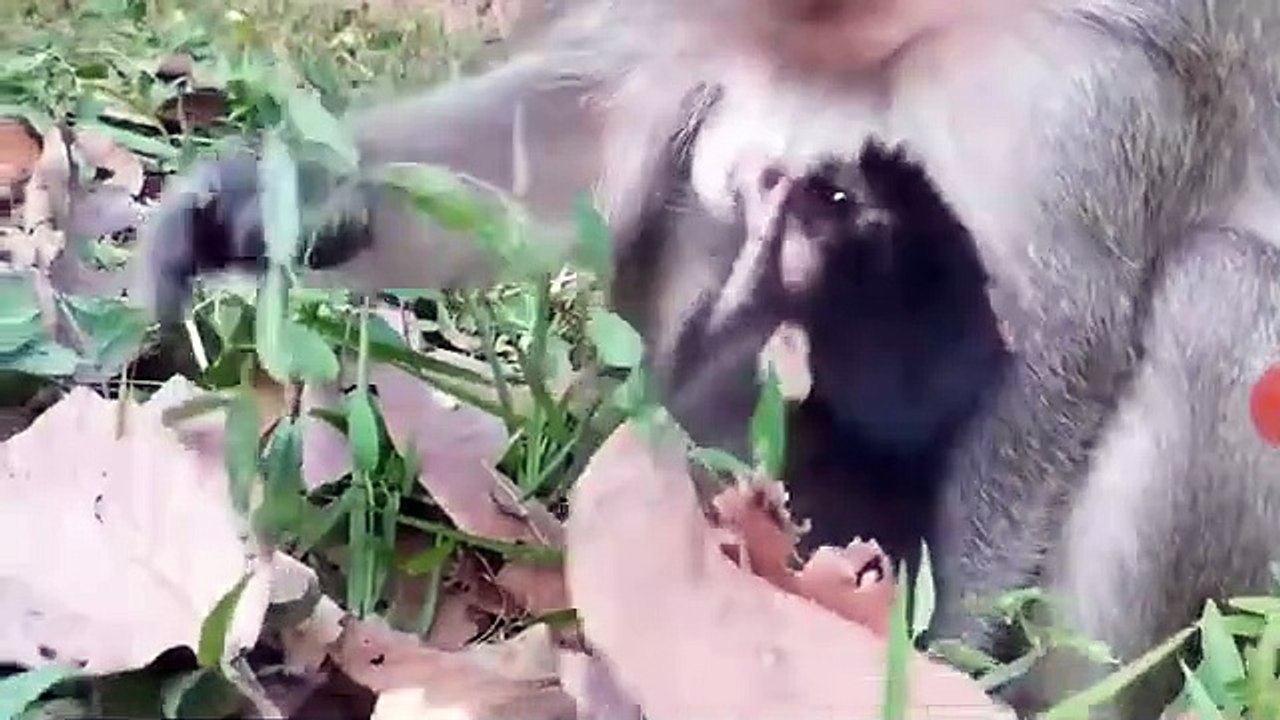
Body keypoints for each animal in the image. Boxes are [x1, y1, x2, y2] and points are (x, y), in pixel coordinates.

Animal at [128, 1, 1280, 716]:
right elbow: (581, 135)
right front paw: (259, 200)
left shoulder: (1095, 79)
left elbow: (1047, 355)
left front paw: (920, 660)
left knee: (1217, 298)